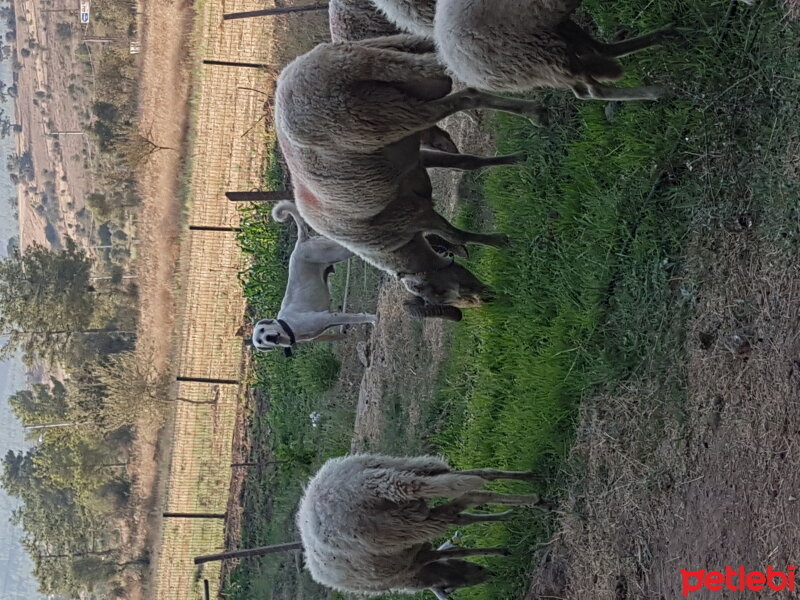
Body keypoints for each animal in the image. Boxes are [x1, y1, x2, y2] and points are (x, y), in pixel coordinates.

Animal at [250, 202, 378, 354]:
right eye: (260, 341)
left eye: (263, 329)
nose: (269, 338)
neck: (288, 327)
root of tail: (301, 241)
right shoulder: (330, 321)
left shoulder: (327, 317)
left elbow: (360, 318)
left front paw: (375, 319)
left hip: (338, 251)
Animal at [274, 36, 544, 318]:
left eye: (437, 292)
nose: (487, 299)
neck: (392, 247)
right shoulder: (416, 165)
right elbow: (467, 163)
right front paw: (515, 159)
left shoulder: (411, 214)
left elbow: (455, 235)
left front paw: (499, 241)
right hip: (400, 56)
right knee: (462, 81)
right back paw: (534, 105)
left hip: (388, 112)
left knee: (464, 98)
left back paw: (534, 110)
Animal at [296, 454, 552, 596]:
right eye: (452, 585)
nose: (487, 574)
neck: (417, 577)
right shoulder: (417, 552)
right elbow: (463, 524)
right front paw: (504, 533)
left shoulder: (416, 558)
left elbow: (458, 544)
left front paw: (500, 549)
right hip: (410, 471)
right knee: (476, 480)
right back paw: (532, 483)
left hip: (403, 520)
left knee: (471, 492)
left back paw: (535, 499)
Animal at [434, 0, 680, 101]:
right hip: (540, 54)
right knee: (593, 91)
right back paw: (656, 93)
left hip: (552, 36)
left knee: (600, 52)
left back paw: (663, 36)